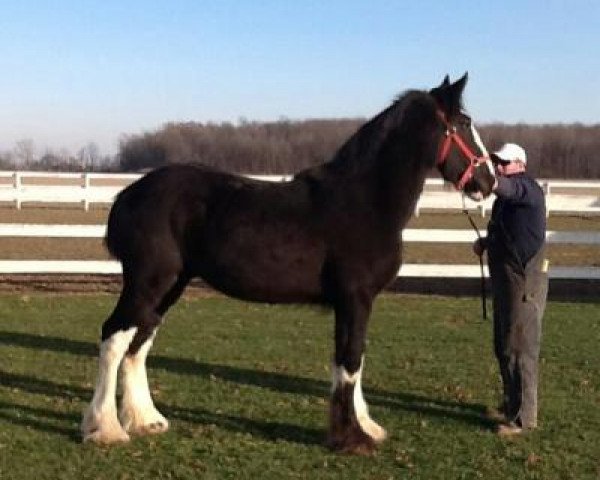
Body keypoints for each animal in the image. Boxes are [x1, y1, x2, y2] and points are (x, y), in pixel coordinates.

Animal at [84, 74, 496, 454]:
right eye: (463, 124)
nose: (488, 180)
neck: (365, 200)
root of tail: (128, 195)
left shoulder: (354, 303)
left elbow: (352, 360)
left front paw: (364, 427)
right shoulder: (356, 298)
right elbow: (350, 361)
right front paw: (353, 438)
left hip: (170, 285)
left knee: (140, 341)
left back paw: (145, 420)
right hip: (148, 281)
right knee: (114, 336)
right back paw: (105, 428)